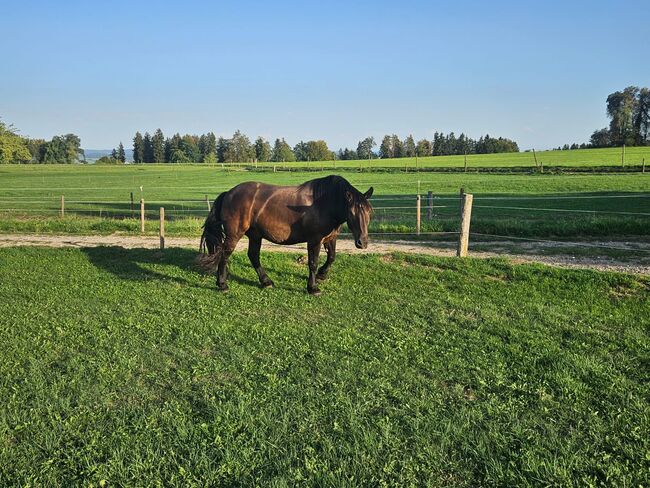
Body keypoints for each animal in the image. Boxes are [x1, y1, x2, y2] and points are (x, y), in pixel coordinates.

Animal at [199, 175, 373, 295]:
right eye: (352, 213)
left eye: (369, 211)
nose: (362, 242)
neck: (324, 203)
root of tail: (229, 193)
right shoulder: (314, 240)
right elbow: (313, 263)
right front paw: (313, 287)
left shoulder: (330, 238)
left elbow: (331, 257)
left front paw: (322, 275)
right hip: (234, 235)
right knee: (225, 254)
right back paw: (222, 284)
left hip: (255, 235)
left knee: (253, 255)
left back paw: (266, 281)